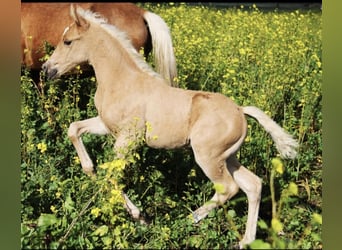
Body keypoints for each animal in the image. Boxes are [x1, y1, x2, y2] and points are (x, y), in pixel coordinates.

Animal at [42, 5, 298, 248]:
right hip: (228, 157)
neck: (122, 80)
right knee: (253, 185)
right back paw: (244, 241)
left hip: (208, 157)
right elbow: (74, 130)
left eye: (68, 41)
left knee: (228, 188)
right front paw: (90, 171)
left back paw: (188, 219)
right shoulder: (106, 126)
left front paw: (140, 216)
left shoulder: (128, 139)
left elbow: (112, 174)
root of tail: (240, 110)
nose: (47, 69)